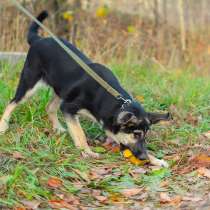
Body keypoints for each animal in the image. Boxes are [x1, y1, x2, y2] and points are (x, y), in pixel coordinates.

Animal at [0, 11, 171, 166]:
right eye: (135, 134)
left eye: (145, 136)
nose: (143, 158)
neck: (113, 99)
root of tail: (39, 40)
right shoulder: (68, 108)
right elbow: (80, 133)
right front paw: (87, 151)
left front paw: (155, 159)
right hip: (30, 83)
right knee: (12, 102)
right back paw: (3, 126)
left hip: (62, 90)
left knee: (49, 107)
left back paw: (58, 128)